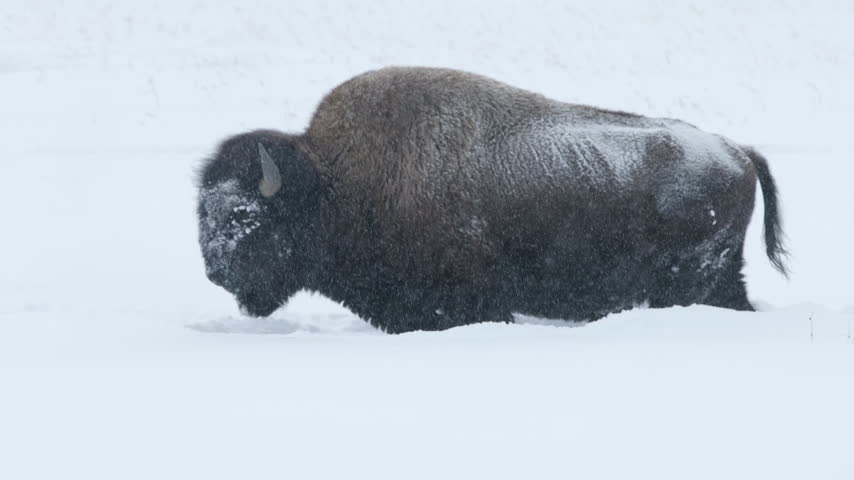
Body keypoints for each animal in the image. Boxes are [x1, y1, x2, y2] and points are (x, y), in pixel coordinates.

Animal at [197, 66, 787, 333]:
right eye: (203, 212)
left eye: (246, 216)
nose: (215, 272)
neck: (337, 183)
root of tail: (736, 150)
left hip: (694, 280)